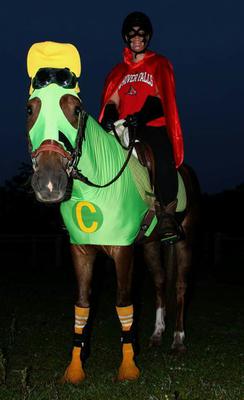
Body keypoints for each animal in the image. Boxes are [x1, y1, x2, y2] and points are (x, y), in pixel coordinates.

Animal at [26, 82, 200, 384]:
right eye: (30, 109)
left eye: (76, 110)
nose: (49, 182)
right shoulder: (81, 251)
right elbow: (82, 305)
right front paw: (75, 369)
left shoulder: (122, 251)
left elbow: (123, 303)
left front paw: (128, 368)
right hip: (151, 246)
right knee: (159, 282)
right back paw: (157, 334)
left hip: (183, 241)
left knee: (179, 286)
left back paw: (178, 340)